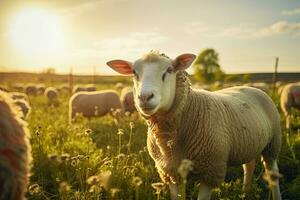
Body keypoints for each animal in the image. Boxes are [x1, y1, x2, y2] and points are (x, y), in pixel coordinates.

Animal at [106, 51, 282, 200]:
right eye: (134, 72)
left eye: (169, 70)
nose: (144, 97)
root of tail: (251, 87)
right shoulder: (170, 172)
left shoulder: (211, 170)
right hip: (249, 143)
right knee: (249, 166)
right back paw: (245, 192)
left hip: (273, 144)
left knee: (272, 173)